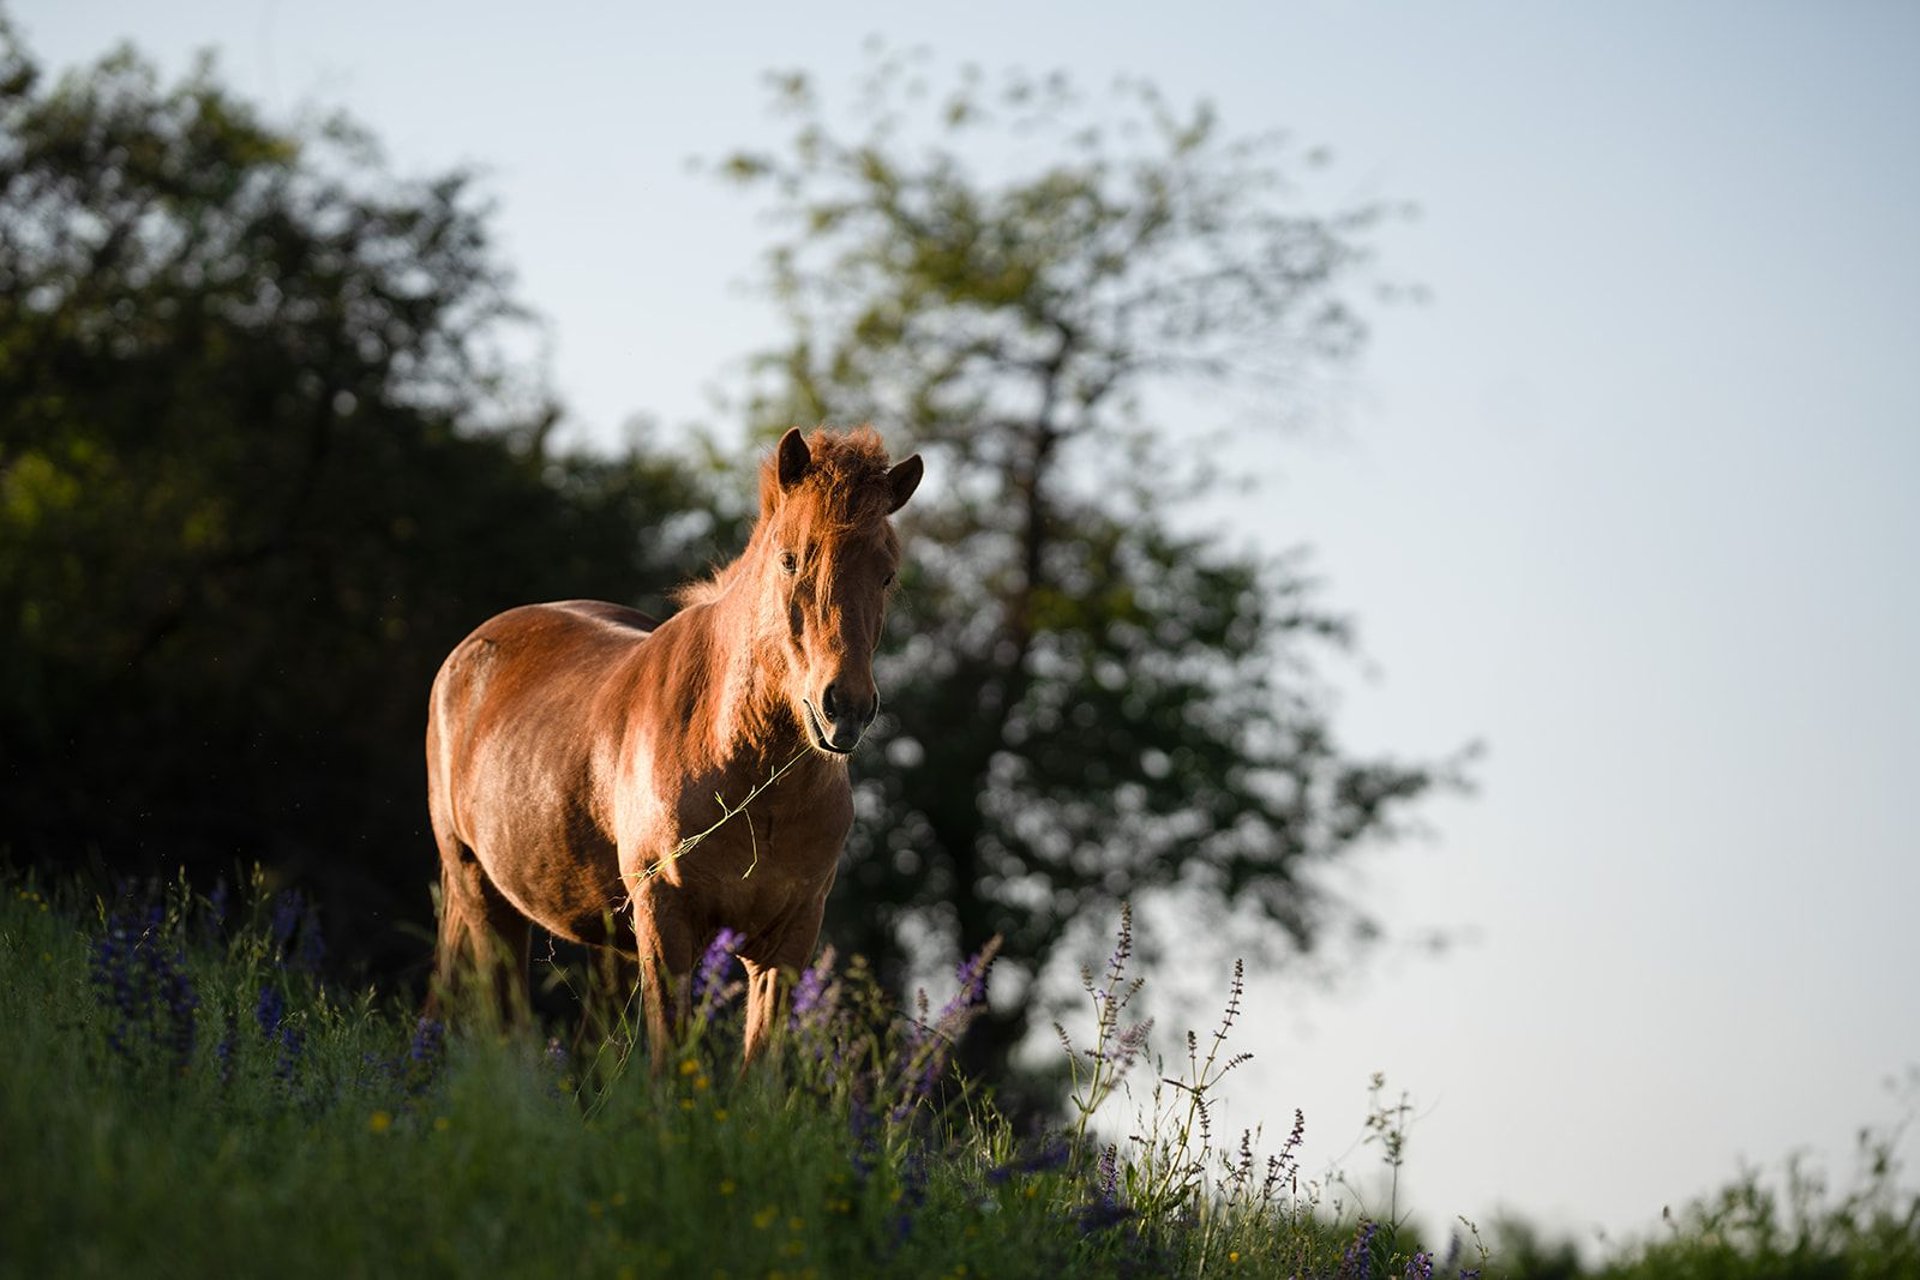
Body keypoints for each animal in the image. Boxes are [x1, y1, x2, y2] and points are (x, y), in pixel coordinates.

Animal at [428, 426, 921, 1066]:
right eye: (790, 559)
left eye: (885, 574)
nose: (847, 707)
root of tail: (469, 652)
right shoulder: (667, 926)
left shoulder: (786, 945)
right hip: (484, 897)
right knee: (505, 1029)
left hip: (604, 938)